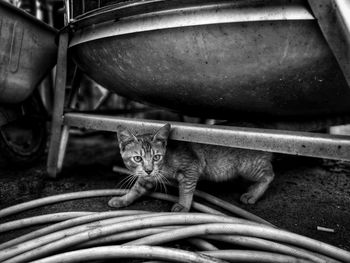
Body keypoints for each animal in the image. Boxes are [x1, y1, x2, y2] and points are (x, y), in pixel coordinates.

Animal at [108, 124, 274, 212]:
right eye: (138, 158)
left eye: (156, 157)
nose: (148, 170)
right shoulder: (148, 177)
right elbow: (137, 188)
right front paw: (123, 199)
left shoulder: (191, 167)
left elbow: (186, 189)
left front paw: (183, 205)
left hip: (248, 166)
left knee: (269, 174)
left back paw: (253, 193)